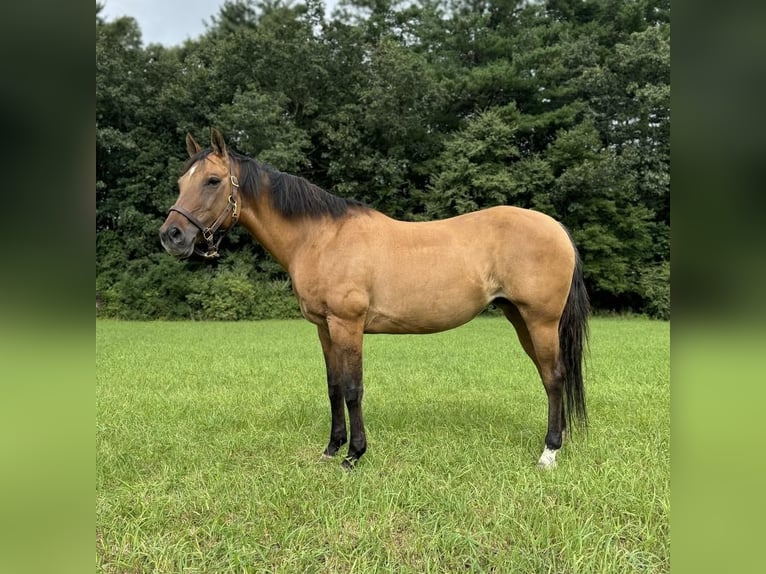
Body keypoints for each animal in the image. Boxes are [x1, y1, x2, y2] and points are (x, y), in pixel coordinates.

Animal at [158, 128, 588, 470]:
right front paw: (331, 449)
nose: (171, 235)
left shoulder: (347, 325)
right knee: (552, 377)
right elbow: (333, 386)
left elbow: (353, 388)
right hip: (521, 319)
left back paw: (548, 453)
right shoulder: (324, 329)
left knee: (554, 377)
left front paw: (354, 455)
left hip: (540, 321)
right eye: (181, 181)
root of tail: (557, 228)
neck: (320, 237)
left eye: (212, 180)